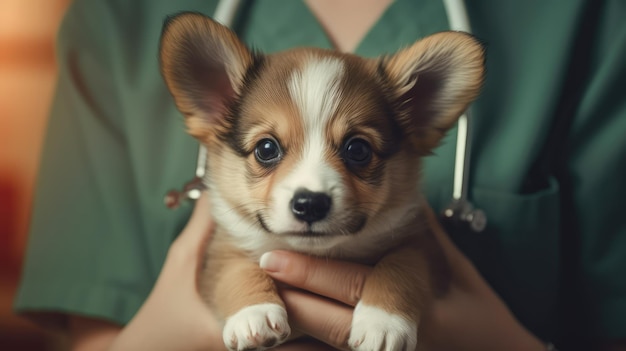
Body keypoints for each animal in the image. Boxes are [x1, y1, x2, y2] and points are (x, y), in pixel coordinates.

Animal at [158, 11, 486, 351]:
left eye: (358, 149)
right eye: (266, 149)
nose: (310, 204)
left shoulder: (425, 248)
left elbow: (401, 266)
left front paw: (382, 322)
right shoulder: (217, 252)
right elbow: (234, 269)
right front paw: (254, 313)